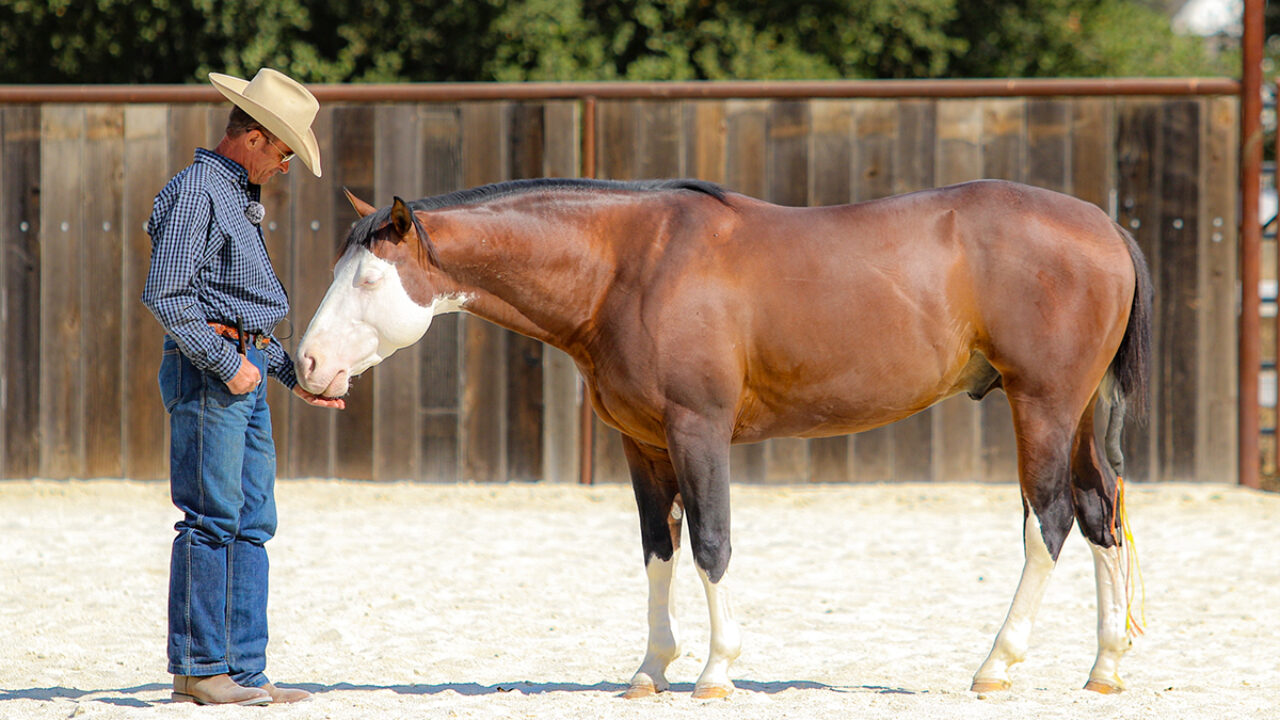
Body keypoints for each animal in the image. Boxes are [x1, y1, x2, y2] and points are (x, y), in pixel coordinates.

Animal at [294, 176, 1151, 699]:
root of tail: (1106, 228)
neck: (625, 269)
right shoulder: (642, 445)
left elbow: (710, 542)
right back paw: (1105, 667)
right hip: (1076, 412)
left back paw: (997, 664)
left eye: (367, 279)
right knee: (1102, 515)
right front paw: (650, 670)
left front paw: (715, 670)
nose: (305, 365)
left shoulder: (696, 431)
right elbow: (659, 551)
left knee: (1050, 520)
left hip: (1041, 406)